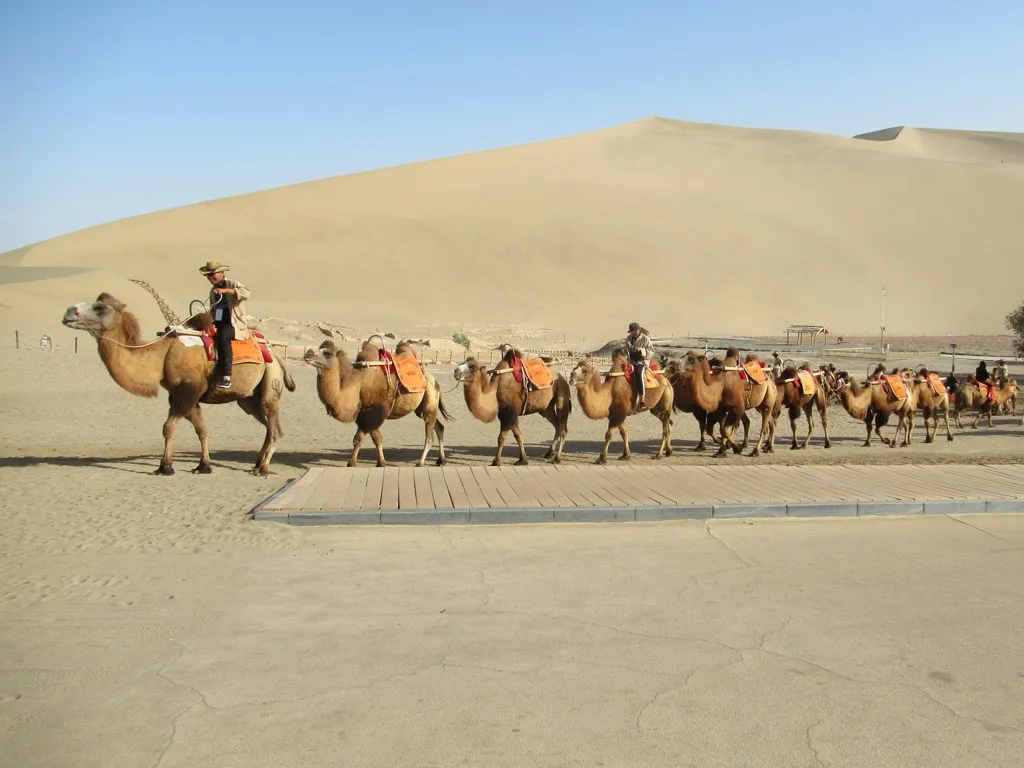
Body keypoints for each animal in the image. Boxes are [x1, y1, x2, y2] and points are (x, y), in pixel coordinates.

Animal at [61, 293, 295, 475]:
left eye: (100, 307)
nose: (68, 312)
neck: (162, 355)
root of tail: (274, 352)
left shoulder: (188, 391)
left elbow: (168, 428)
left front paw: (165, 467)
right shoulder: (181, 394)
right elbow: (202, 429)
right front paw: (204, 466)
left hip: (271, 384)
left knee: (274, 427)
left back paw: (263, 468)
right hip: (248, 398)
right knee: (269, 426)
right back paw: (257, 463)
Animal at [305, 339, 451, 467]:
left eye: (327, 353)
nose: (308, 354)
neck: (358, 383)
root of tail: (432, 378)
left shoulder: (373, 410)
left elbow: (365, 438)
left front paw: (358, 463)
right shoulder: (363, 413)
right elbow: (369, 439)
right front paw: (374, 462)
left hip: (430, 400)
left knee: (429, 435)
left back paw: (420, 463)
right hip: (421, 408)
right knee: (439, 427)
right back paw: (441, 460)